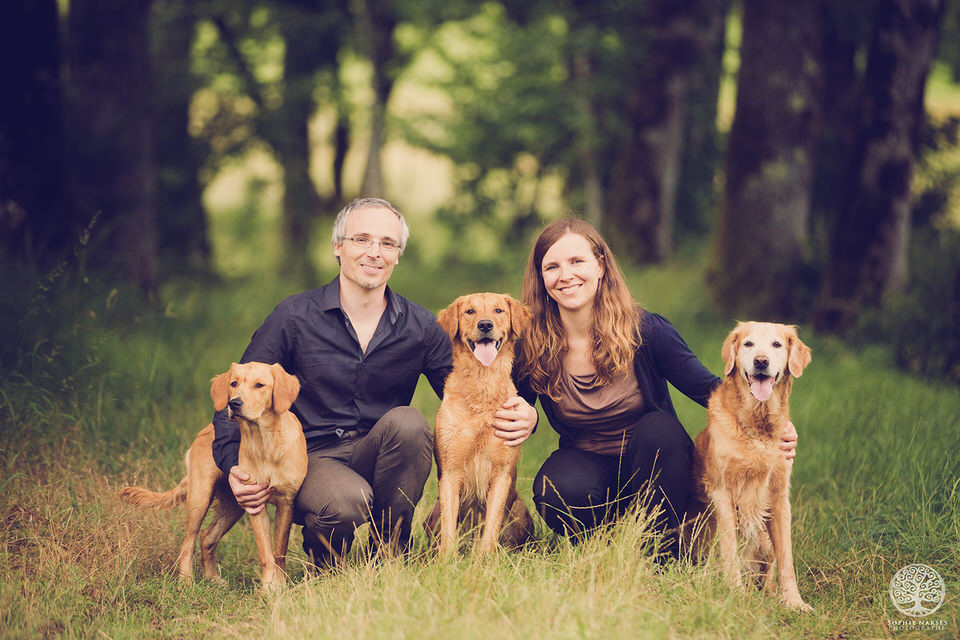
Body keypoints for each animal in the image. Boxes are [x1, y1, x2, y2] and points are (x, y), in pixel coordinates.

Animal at [120, 362, 306, 592]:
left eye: (260, 385)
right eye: (234, 383)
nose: (234, 403)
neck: (265, 443)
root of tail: (205, 430)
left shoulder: (286, 502)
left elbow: (279, 551)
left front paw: (279, 585)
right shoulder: (255, 503)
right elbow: (265, 552)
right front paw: (269, 587)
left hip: (232, 505)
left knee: (207, 537)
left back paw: (212, 579)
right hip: (200, 498)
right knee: (188, 543)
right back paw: (186, 582)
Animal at [426, 292, 536, 552]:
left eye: (498, 310)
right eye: (470, 311)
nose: (485, 325)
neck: (482, 382)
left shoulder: (501, 473)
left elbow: (491, 528)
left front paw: (484, 559)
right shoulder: (450, 472)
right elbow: (448, 531)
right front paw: (447, 560)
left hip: (520, 510)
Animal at [688, 322, 812, 612]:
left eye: (777, 344)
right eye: (748, 344)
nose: (761, 361)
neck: (758, 428)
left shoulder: (779, 496)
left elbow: (786, 558)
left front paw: (794, 601)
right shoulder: (722, 492)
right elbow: (730, 549)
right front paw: (735, 593)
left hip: (764, 539)